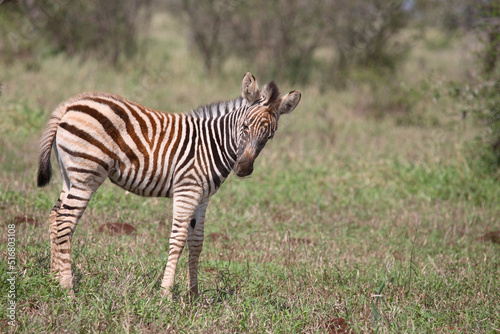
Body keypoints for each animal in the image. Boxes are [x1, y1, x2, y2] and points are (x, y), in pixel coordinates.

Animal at [38, 72, 300, 298]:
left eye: (269, 136)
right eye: (245, 126)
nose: (243, 168)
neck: (212, 144)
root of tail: (70, 104)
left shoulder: (203, 196)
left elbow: (197, 242)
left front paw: (193, 295)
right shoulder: (188, 188)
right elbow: (178, 239)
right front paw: (166, 294)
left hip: (70, 175)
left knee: (55, 215)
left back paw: (53, 278)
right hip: (86, 174)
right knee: (65, 222)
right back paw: (68, 289)